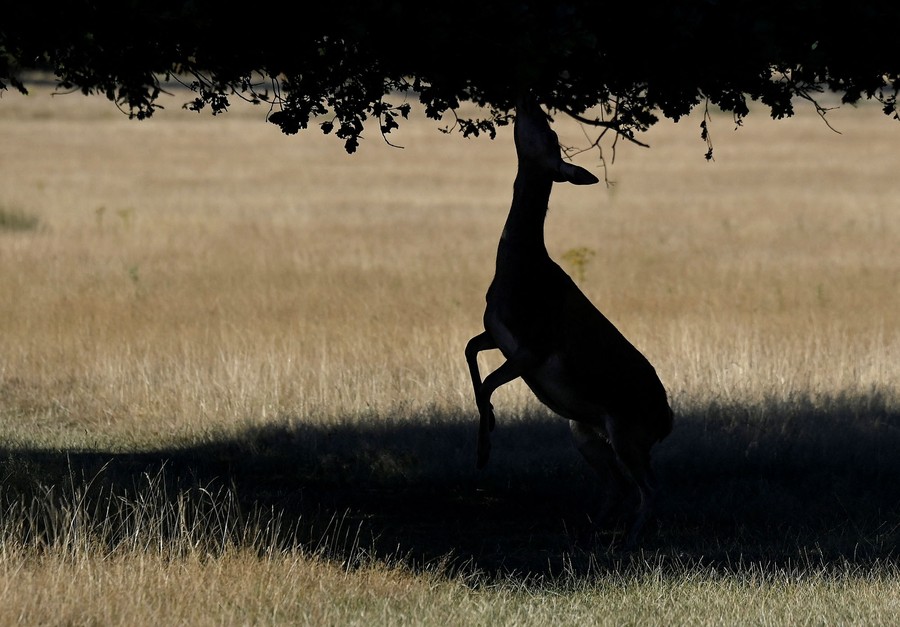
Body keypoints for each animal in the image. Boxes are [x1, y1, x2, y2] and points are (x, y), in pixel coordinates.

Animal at [464, 97, 674, 547]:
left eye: (551, 134)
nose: (531, 104)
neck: (520, 271)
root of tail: (666, 422)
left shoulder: (535, 345)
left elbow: (487, 382)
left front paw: (484, 452)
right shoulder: (498, 332)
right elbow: (470, 353)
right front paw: (488, 429)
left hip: (627, 432)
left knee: (649, 486)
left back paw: (628, 539)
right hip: (585, 432)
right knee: (619, 483)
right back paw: (591, 529)